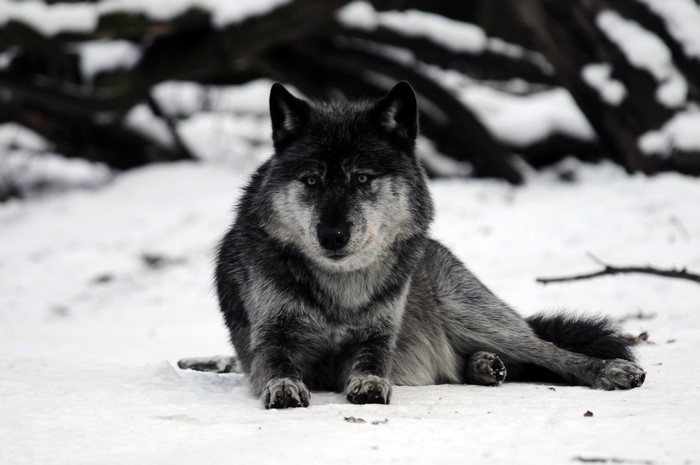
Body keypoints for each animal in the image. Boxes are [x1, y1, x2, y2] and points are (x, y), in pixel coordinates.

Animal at [214, 81, 646, 409]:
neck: (342, 290)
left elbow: (371, 363)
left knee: (547, 349)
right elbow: (278, 365)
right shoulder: (270, 340)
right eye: (311, 180)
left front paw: (369, 384)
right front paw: (284, 387)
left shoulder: (377, 339)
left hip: (470, 313)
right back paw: (485, 367)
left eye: (362, 178)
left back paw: (610, 369)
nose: (332, 236)